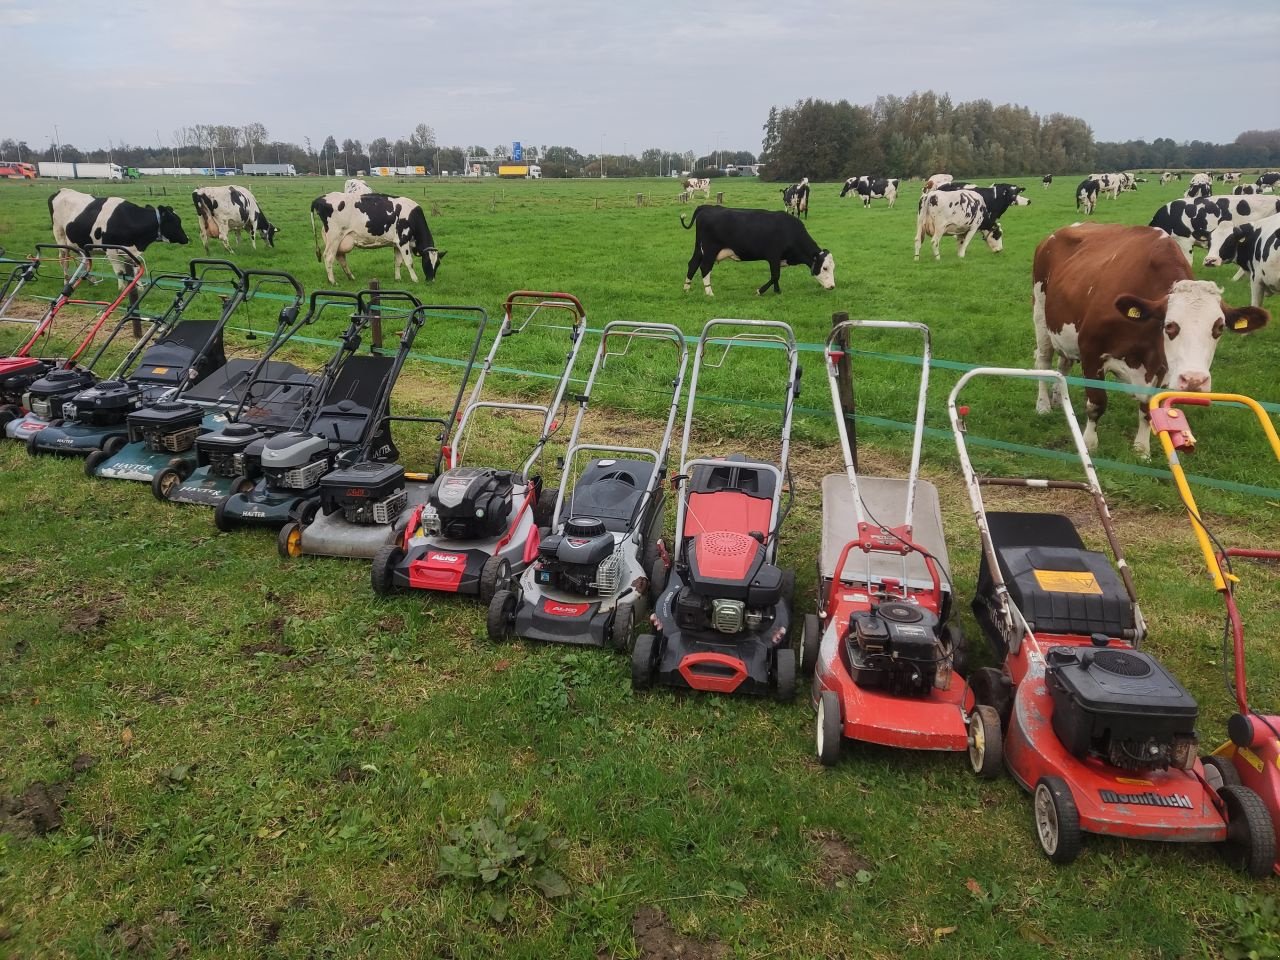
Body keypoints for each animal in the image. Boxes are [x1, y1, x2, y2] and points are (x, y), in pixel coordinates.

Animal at [48, 186, 188, 284]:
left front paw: (138, 287)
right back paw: (66, 280)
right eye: (176, 222)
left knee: (84, 258)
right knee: (64, 259)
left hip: (79, 242)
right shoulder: (110, 250)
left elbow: (136, 271)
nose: (186, 239)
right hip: (60, 236)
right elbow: (120, 272)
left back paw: (90, 278)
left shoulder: (131, 251)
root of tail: (62, 191)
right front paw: (123, 289)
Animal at [308, 193, 445, 284]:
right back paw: (333, 281)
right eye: (426, 261)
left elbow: (398, 262)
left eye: (438, 263)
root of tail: (320, 199)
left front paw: (398, 278)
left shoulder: (397, 244)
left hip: (339, 238)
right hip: (334, 236)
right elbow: (409, 262)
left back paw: (350, 277)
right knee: (329, 257)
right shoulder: (403, 240)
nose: (431, 280)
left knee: (340, 257)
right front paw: (415, 279)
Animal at [680, 208, 839, 299]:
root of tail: (706, 210)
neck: (789, 231)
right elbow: (775, 275)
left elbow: (776, 276)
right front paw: (760, 291)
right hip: (710, 250)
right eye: (824, 267)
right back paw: (709, 292)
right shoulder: (773, 256)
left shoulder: (777, 259)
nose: (832, 286)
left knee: (692, 264)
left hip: (699, 249)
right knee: (705, 267)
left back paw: (686, 288)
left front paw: (777, 291)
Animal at [1029, 224, 1269, 455]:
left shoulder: (1163, 367)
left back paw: (1058, 398)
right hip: (1041, 314)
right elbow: (1096, 403)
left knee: (1064, 363)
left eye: (1219, 328)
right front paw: (1089, 443)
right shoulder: (1091, 352)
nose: (1194, 380)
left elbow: (1147, 409)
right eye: (1170, 325)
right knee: (1043, 360)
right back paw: (1043, 405)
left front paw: (1142, 448)